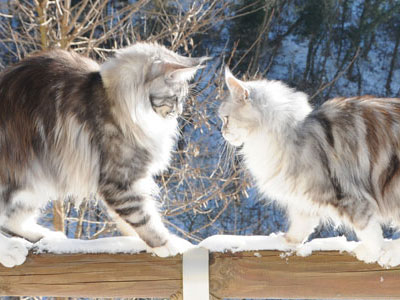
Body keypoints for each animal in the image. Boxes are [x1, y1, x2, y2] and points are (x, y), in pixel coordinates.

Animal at [0, 42, 206, 268]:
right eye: (176, 98)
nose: (179, 111)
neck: (116, 99)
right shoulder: (120, 179)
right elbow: (143, 217)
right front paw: (167, 245)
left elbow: (128, 220)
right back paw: (11, 251)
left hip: (37, 182)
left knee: (13, 220)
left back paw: (49, 236)